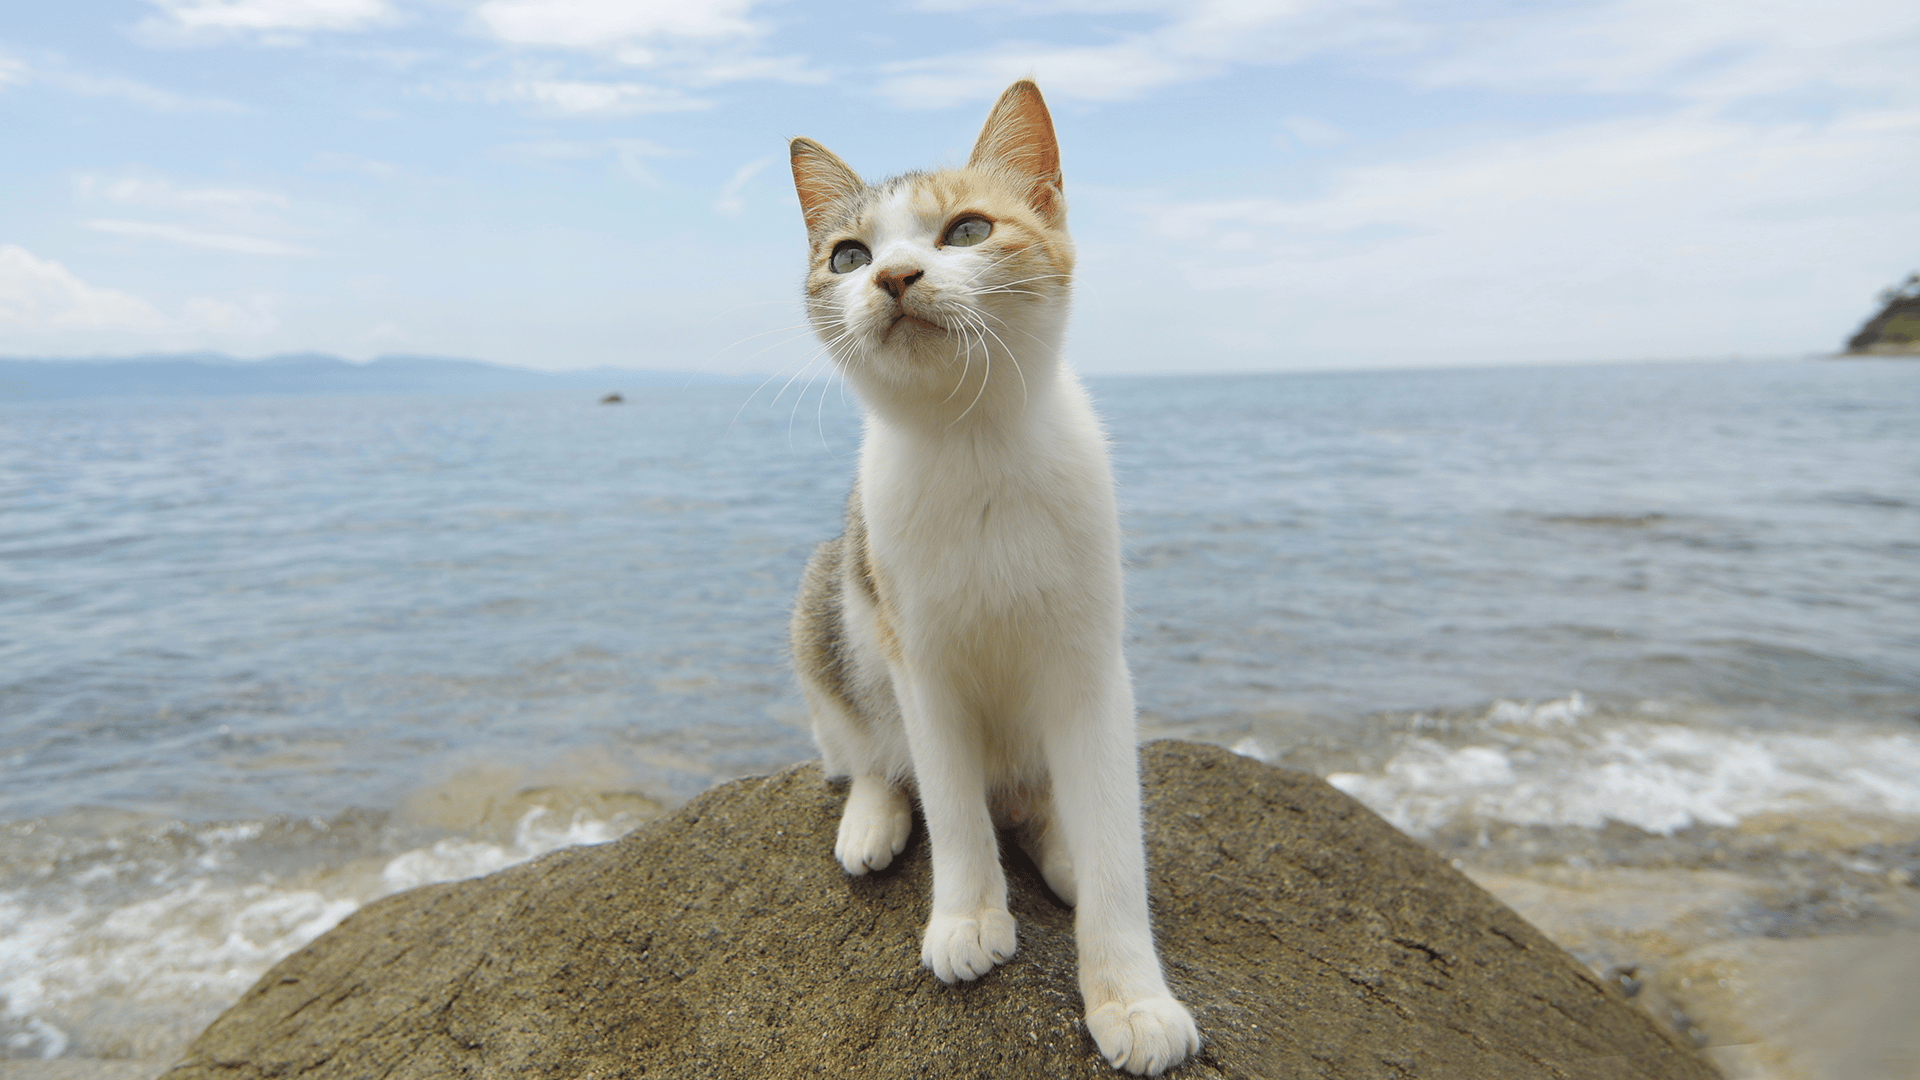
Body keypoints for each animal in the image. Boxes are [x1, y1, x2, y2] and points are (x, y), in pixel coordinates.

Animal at [783, 82, 1198, 1068]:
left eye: (967, 231)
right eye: (848, 256)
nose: (894, 277)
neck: (973, 443)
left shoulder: (1092, 663)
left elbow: (1115, 830)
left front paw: (1130, 995)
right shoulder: (919, 657)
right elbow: (950, 799)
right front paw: (967, 917)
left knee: (1044, 801)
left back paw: (1061, 848)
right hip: (829, 593)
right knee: (866, 749)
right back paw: (872, 818)